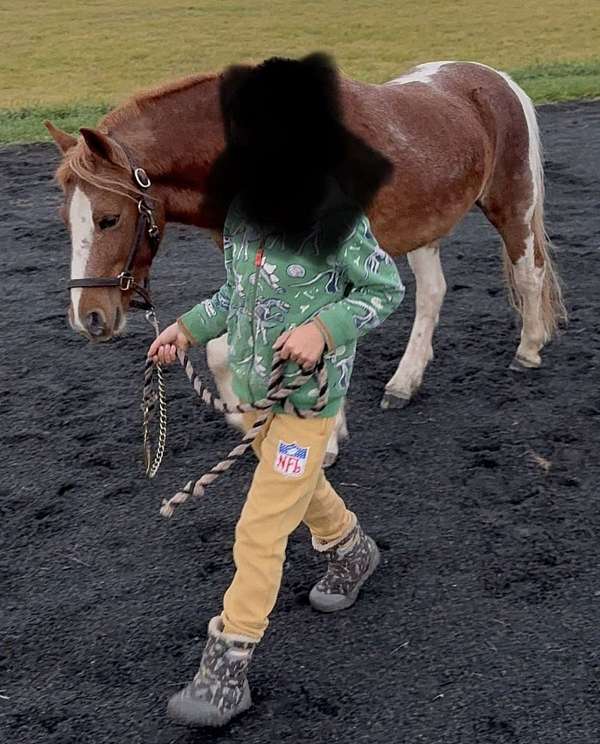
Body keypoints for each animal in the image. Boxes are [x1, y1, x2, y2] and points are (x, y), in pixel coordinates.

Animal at [47, 60, 566, 465]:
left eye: (109, 218)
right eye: (65, 219)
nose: (87, 317)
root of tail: (494, 79)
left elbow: (318, 338)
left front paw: (324, 435)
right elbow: (221, 350)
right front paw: (251, 420)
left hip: (512, 204)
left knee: (529, 272)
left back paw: (529, 348)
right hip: (425, 227)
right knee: (432, 295)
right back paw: (404, 382)